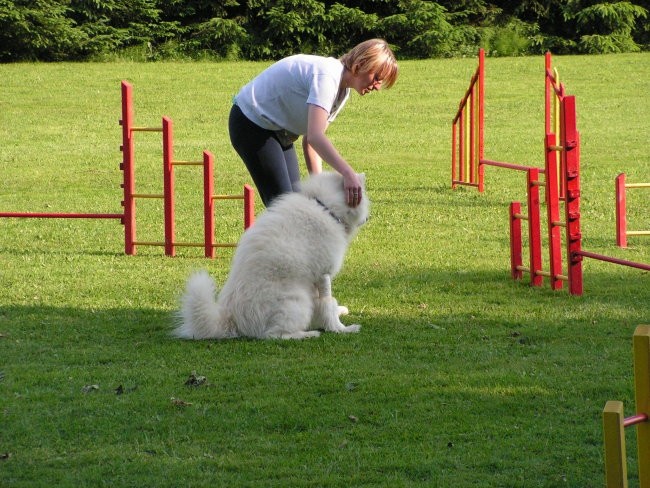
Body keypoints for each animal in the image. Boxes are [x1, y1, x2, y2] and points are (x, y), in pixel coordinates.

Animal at [173, 172, 370, 340]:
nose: (368, 218)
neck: (325, 206)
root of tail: (232, 321)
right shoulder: (323, 274)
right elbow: (328, 302)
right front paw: (341, 329)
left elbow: (324, 305)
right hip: (297, 302)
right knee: (275, 335)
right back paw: (308, 334)